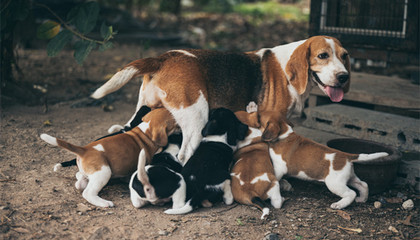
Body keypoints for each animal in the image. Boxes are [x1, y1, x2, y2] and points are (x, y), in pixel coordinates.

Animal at [39, 108, 177, 207]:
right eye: (175, 122)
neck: (146, 131)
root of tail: (84, 150)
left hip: (91, 174)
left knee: (80, 183)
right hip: (104, 172)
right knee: (87, 193)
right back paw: (104, 203)